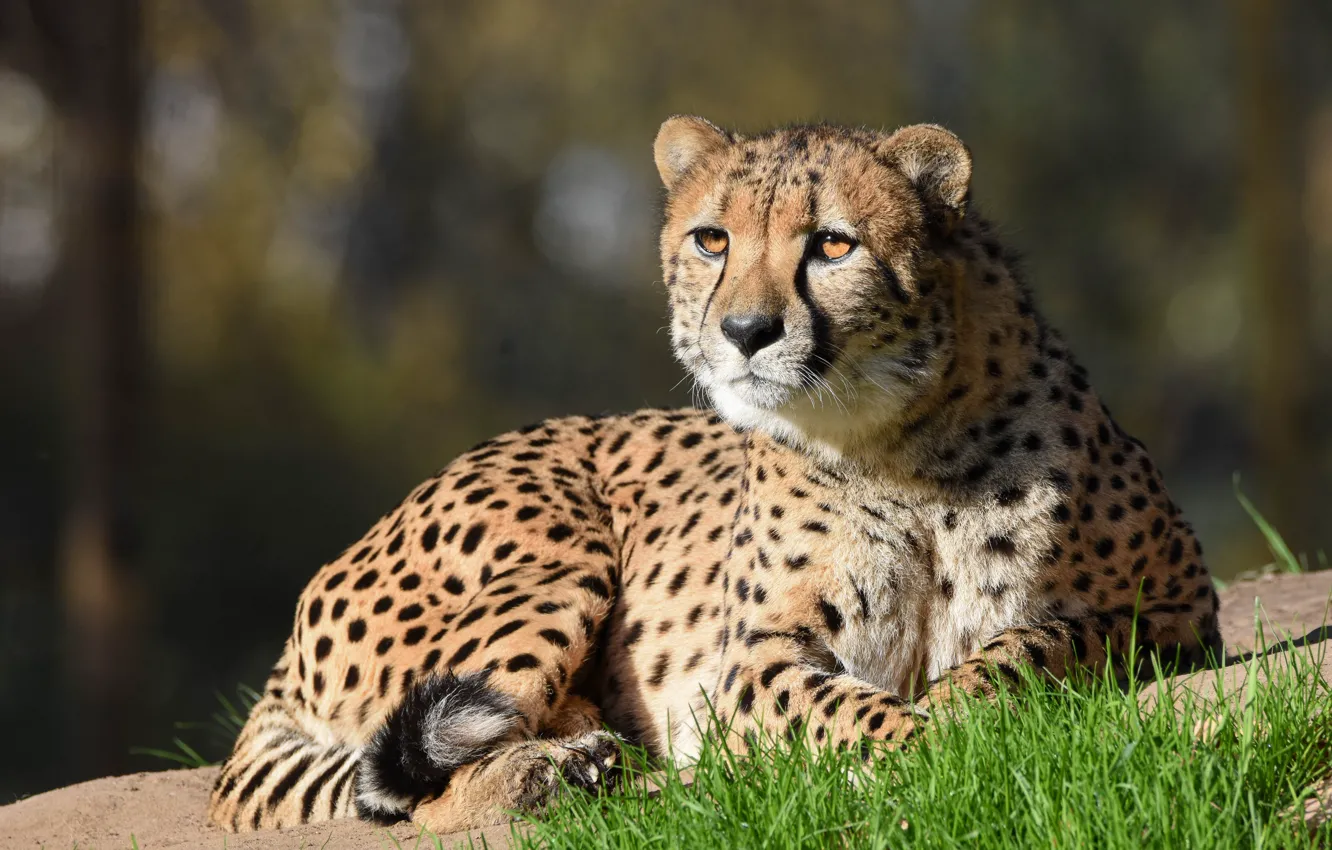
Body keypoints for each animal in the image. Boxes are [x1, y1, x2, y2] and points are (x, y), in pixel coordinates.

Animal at [207, 116, 1222, 834]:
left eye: (832, 244)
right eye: (711, 240)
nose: (745, 331)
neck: (907, 443)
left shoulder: (1179, 609)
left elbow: (1042, 641)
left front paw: (964, 711)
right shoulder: (752, 660)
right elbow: (848, 707)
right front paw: (928, 747)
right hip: (558, 547)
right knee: (422, 791)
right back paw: (561, 772)